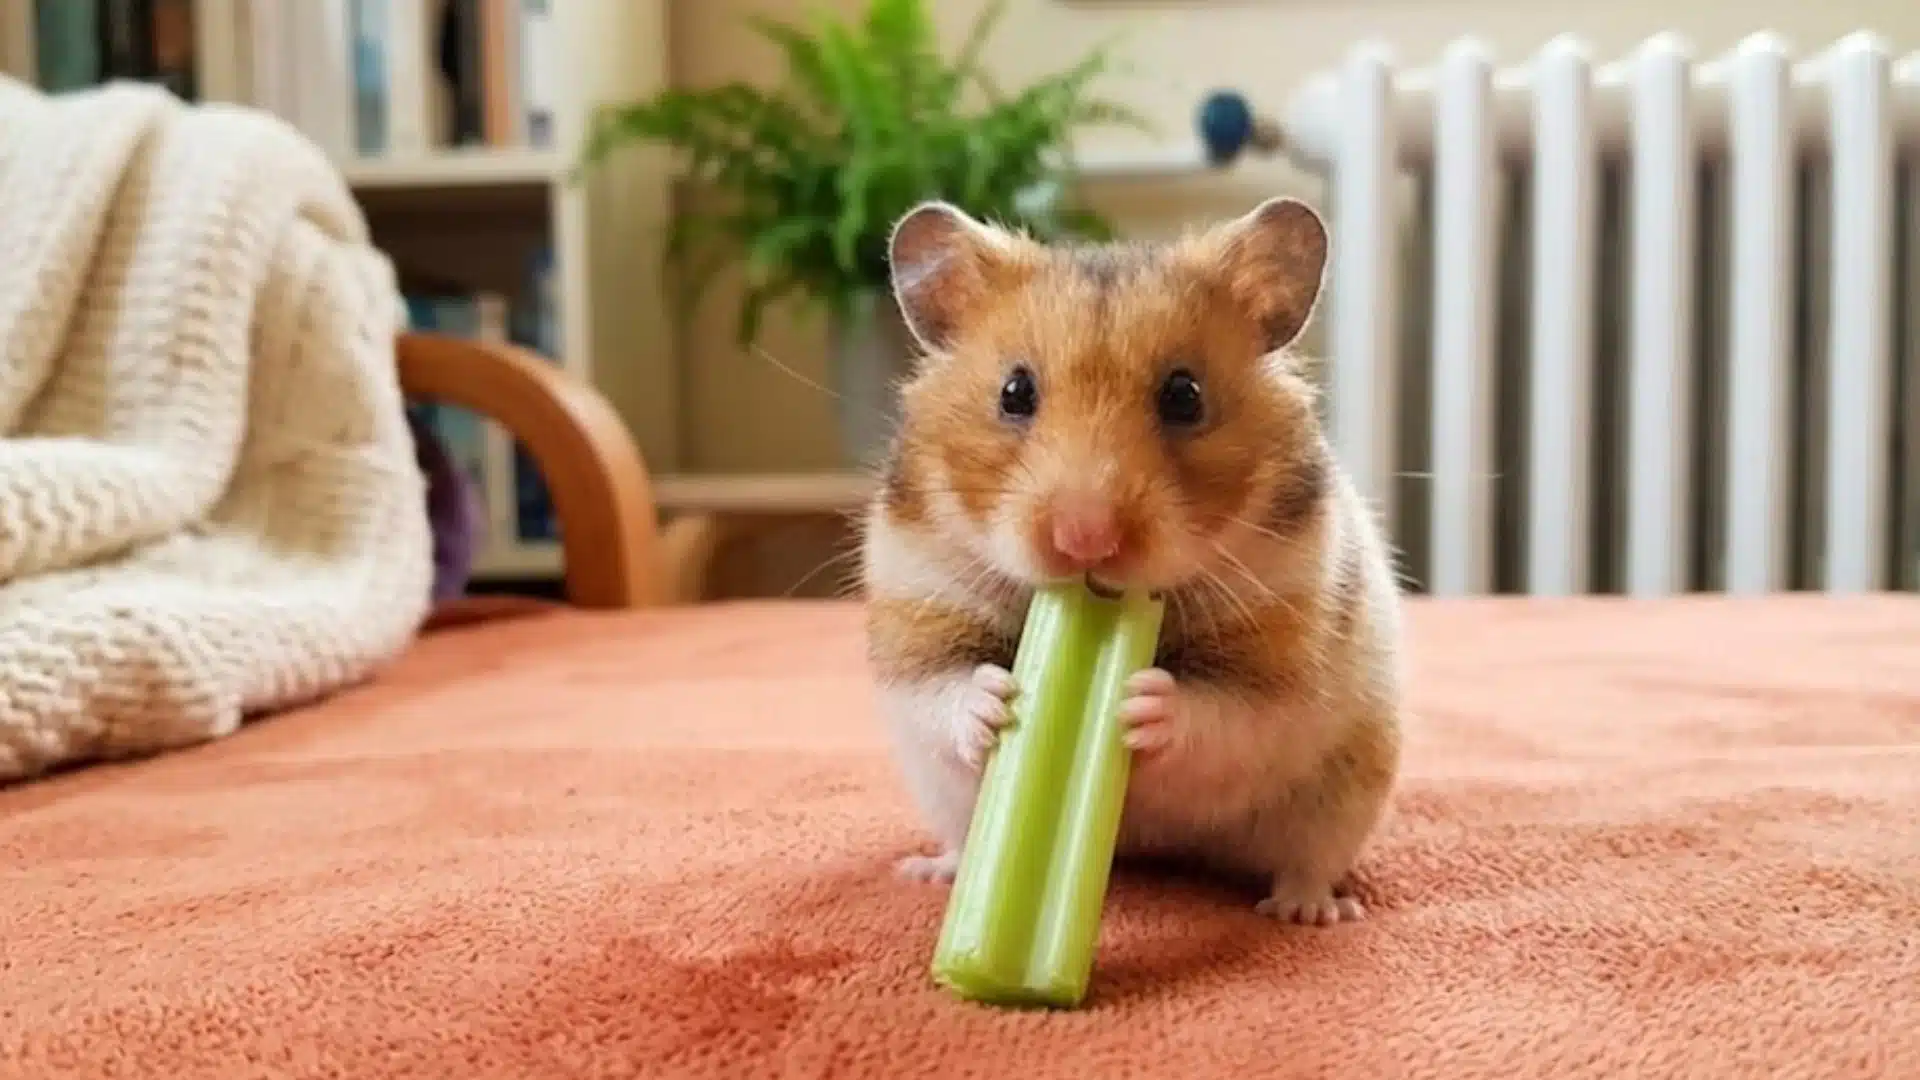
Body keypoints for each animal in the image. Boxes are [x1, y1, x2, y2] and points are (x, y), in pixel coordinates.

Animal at [859, 196, 1404, 926]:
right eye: (1014, 392)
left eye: (1184, 395)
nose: (1085, 539)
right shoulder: (918, 601)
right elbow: (939, 687)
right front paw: (997, 701)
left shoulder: (1282, 640)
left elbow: (1225, 713)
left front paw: (1136, 701)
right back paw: (930, 870)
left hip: (1347, 787)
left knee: (1308, 860)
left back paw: (1311, 911)